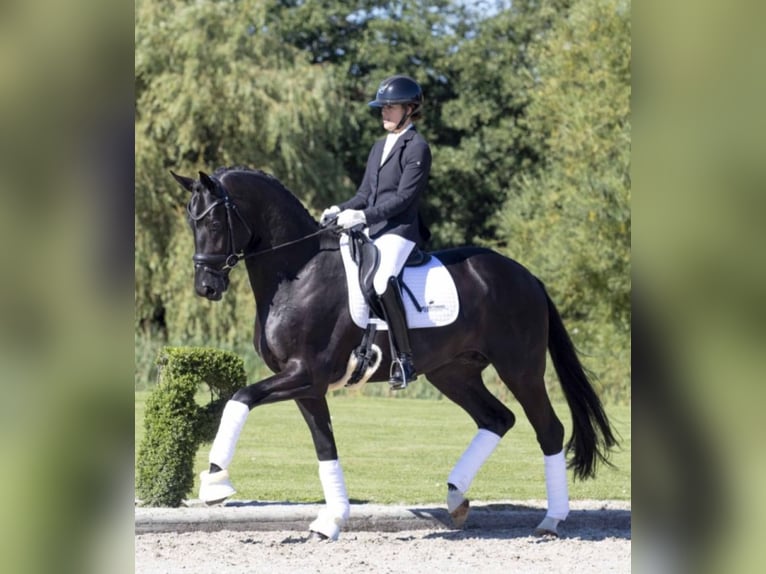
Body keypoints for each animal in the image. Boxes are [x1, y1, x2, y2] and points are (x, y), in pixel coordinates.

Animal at [171, 166, 617, 540]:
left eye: (214, 221)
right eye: (191, 222)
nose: (207, 287)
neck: (298, 273)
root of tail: (526, 276)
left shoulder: (305, 374)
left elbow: (239, 398)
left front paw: (215, 483)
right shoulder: (308, 386)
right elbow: (325, 447)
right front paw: (331, 521)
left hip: (520, 368)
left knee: (549, 430)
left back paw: (551, 520)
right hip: (452, 372)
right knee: (497, 418)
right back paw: (456, 497)